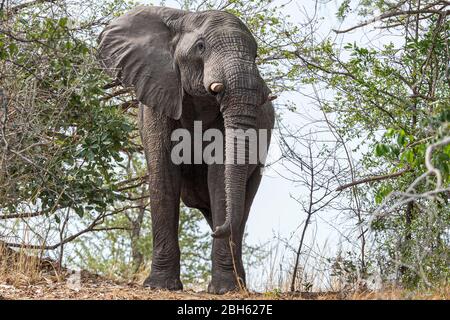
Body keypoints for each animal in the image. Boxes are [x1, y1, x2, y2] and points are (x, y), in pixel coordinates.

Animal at [98, 5, 274, 296]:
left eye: (256, 54)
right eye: (201, 47)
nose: (217, 231)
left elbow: (219, 178)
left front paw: (223, 290)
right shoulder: (158, 94)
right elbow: (163, 172)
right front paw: (160, 285)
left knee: (242, 204)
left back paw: (238, 283)